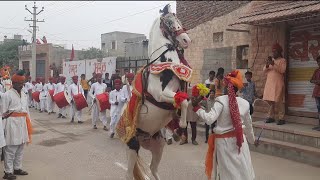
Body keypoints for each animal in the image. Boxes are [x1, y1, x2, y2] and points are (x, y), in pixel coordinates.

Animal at [122, 4, 191, 180]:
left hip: (158, 146)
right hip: (132, 146)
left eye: (178, 20)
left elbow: (184, 101)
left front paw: (178, 130)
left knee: (153, 169)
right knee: (129, 174)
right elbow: (183, 101)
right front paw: (181, 126)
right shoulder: (160, 94)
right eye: (169, 22)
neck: (165, 65)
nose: (186, 40)